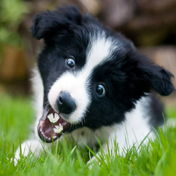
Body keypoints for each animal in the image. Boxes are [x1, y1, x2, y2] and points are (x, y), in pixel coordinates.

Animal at [14, 4, 174, 163]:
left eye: (100, 89)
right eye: (70, 62)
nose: (65, 102)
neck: (86, 131)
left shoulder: (141, 133)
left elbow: (114, 150)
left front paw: (93, 165)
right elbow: (32, 146)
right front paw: (20, 157)